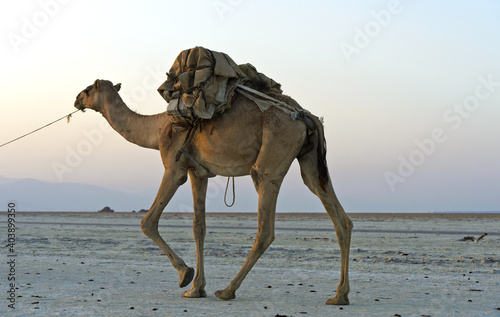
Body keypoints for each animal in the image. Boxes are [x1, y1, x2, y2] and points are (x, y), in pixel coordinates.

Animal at [75, 78, 356, 304]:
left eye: (89, 88)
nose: (77, 98)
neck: (158, 130)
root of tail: (305, 115)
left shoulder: (174, 167)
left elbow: (148, 221)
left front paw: (185, 274)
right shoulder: (198, 172)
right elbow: (199, 228)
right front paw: (196, 288)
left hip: (272, 158)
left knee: (265, 225)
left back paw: (228, 290)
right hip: (309, 160)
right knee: (338, 215)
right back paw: (339, 295)